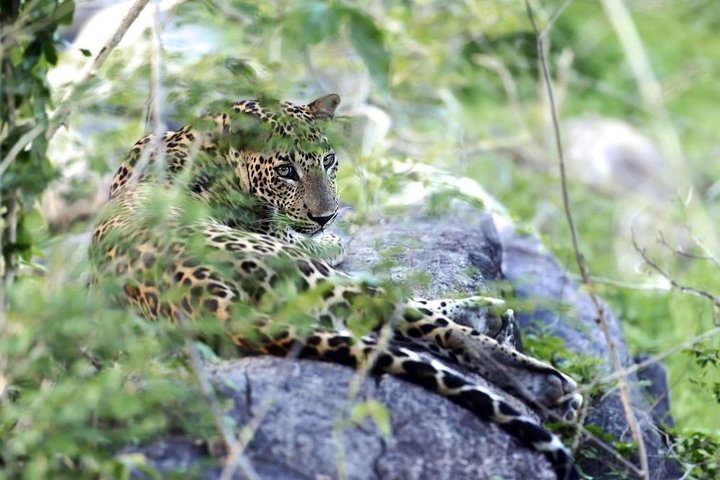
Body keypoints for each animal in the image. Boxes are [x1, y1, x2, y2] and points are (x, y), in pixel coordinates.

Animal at [89, 93, 583, 480]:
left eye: (328, 162)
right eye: (285, 171)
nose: (326, 216)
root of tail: (207, 298)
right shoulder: (286, 238)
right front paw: (333, 237)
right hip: (310, 278)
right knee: (423, 319)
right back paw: (541, 375)